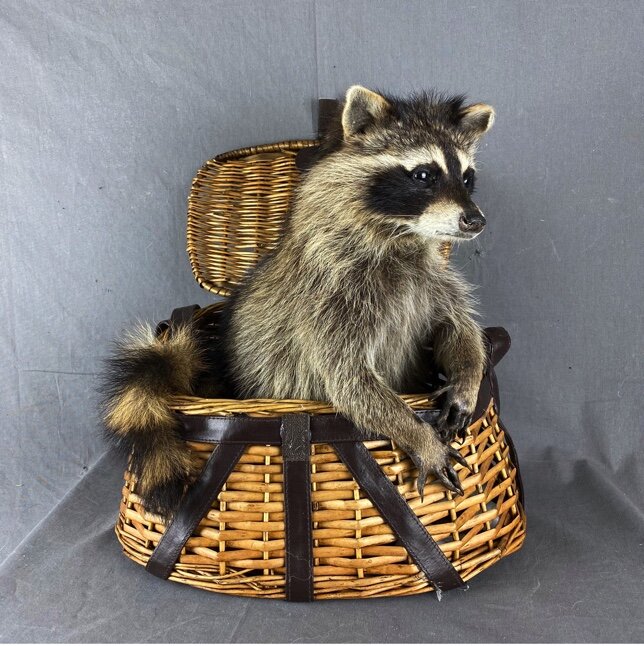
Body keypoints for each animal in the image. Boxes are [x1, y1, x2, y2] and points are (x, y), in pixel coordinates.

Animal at [102, 85, 495, 518]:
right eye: (424, 174)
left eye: (467, 177)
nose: (475, 220)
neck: (401, 234)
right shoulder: (328, 292)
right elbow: (348, 379)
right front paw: (414, 431)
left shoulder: (432, 278)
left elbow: (458, 327)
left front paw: (468, 377)